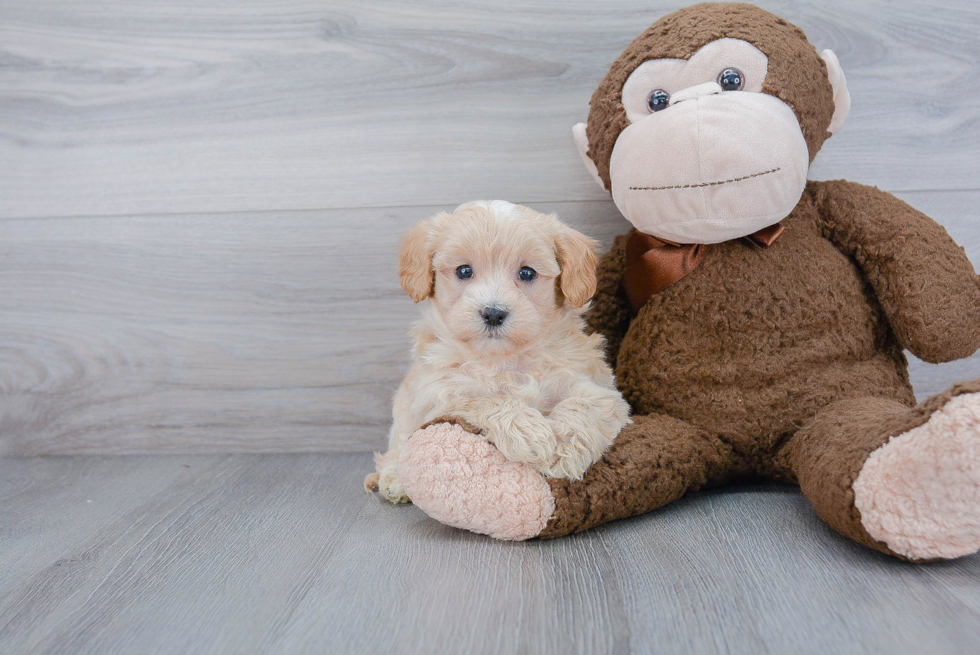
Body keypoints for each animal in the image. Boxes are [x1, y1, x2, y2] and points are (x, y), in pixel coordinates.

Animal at [366, 202, 628, 504]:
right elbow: (487, 399)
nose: (493, 313)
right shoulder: (440, 395)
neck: (504, 359)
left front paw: (564, 450)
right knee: (398, 446)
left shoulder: (596, 388)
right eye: (464, 271)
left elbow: (584, 405)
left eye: (527, 273)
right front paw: (529, 432)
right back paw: (394, 479)